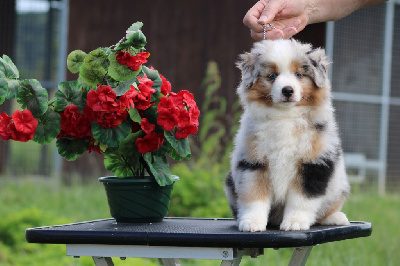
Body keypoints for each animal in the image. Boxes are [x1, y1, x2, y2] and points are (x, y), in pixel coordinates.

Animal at [225, 38, 350, 232]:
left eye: (299, 75)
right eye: (272, 76)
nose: (288, 90)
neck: (285, 116)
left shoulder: (314, 163)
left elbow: (302, 198)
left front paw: (295, 222)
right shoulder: (253, 162)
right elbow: (254, 195)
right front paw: (252, 222)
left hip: (339, 186)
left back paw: (336, 217)